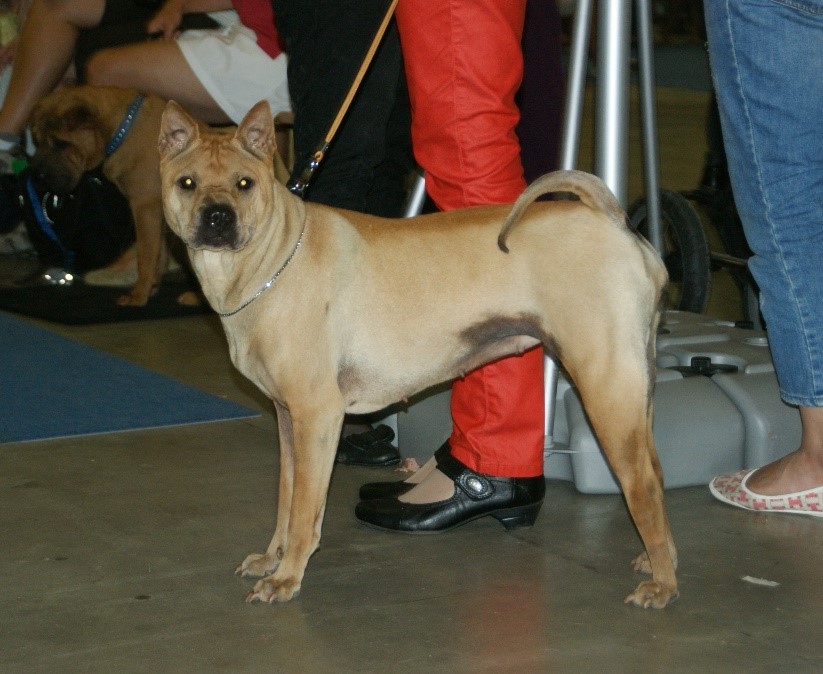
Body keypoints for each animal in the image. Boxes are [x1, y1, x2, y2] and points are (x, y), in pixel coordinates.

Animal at [158, 100, 680, 608]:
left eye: (244, 184)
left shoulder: (316, 415)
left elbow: (305, 511)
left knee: (644, 487)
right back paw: (656, 560)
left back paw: (662, 583)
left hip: (608, 390)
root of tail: (613, 223)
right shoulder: (289, 418)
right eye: (188, 183)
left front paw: (286, 578)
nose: (218, 217)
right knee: (656, 473)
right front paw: (272, 559)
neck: (270, 260)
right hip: (638, 390)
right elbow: (287, 501)